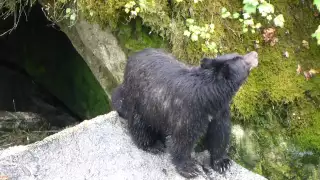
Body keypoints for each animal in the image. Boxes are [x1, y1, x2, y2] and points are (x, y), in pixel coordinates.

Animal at [111, 48, 258, 179]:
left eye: (239, 55)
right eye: (241, 59)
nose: (255, 53)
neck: (210, 98)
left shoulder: (220, 111)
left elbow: (220, 133)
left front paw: (222, 163)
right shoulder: (189, 110)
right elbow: (182, 138)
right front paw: (189, 168)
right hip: (141, 100)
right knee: (139, 123)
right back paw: (152, 145)